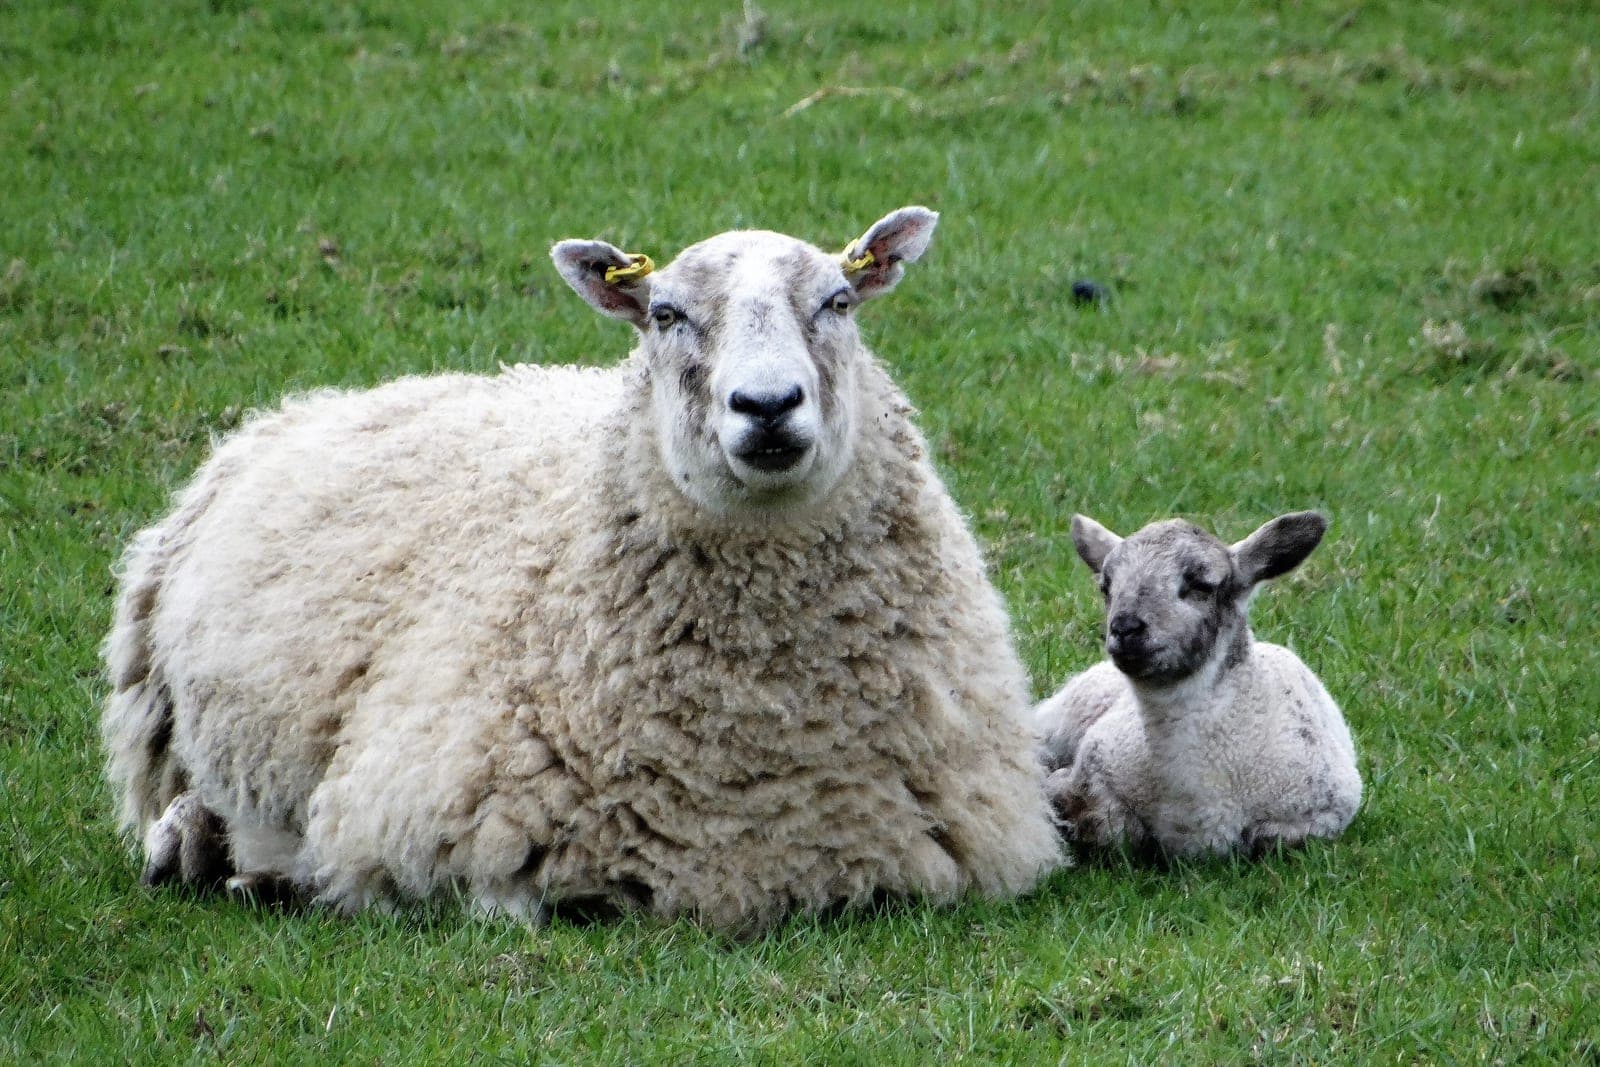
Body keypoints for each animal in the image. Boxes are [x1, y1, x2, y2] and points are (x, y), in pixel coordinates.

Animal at [100, 207, 1063, 933]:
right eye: (665, 314)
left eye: (837, 300)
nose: (767, 406)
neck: (761, 719)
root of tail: (305, 405)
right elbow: (501, 901)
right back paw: (208, 852)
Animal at [1033, 511, 1360, 858]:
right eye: (1106, 588)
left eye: (1200, 585)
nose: (1124, 628)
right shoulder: (1093, 770)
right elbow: (1110, 827)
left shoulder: (1325, 811)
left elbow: (1273, 838)